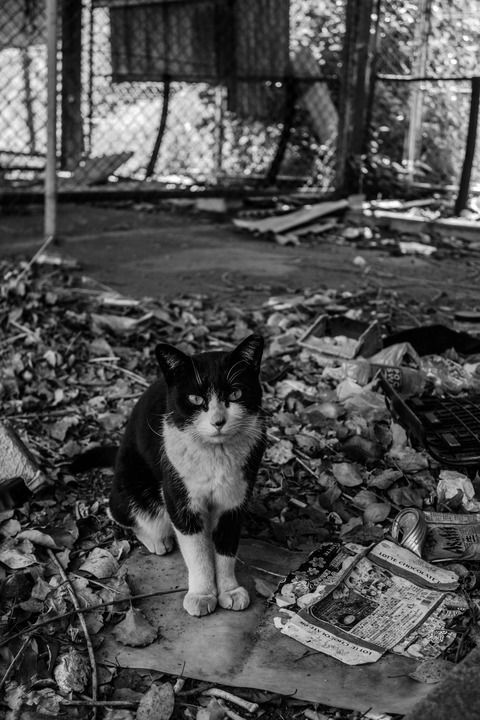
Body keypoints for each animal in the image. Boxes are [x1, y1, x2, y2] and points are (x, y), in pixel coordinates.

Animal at [102, 334, 264, 616]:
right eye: (196, 399)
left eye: (235, 393)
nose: (218, 421)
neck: (216, 454)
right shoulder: (180, 497)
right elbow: (197, 553)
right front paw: (201, 595)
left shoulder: (235, 499)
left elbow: (226, 548)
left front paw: (230, 591)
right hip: (134, 488)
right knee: (123, 513)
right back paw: (158, 541)